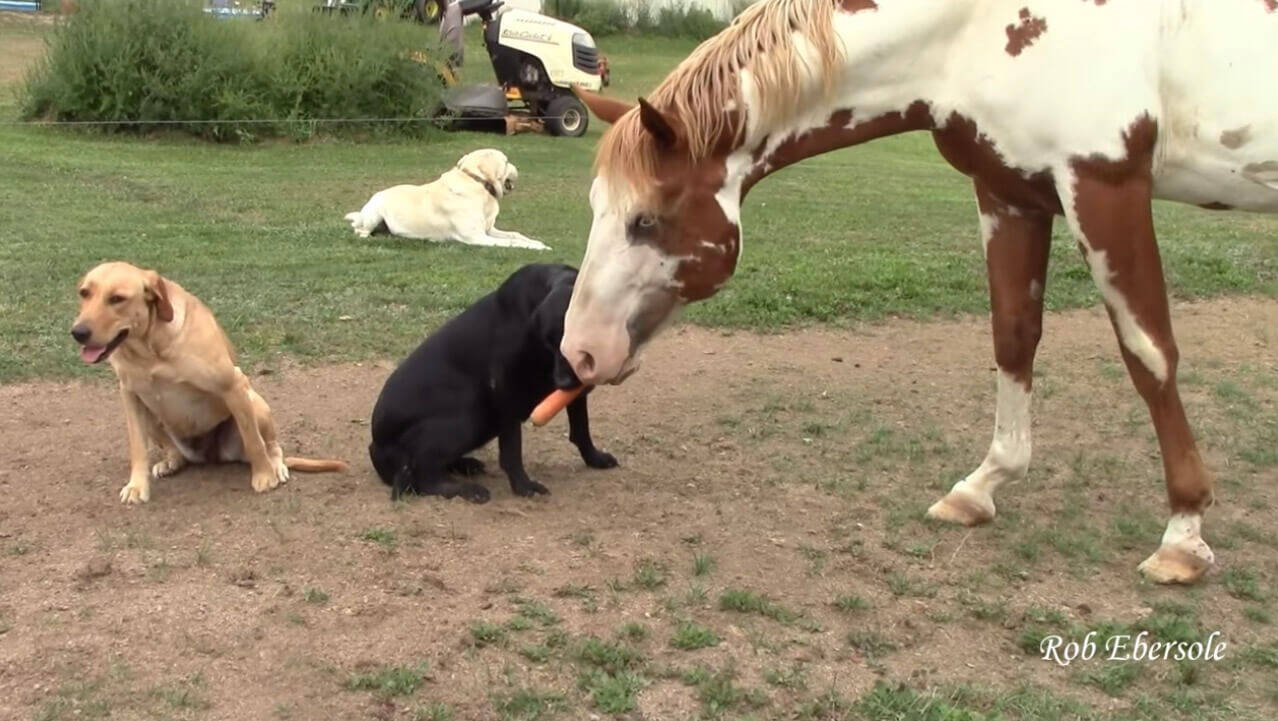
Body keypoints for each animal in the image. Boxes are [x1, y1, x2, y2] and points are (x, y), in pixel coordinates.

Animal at [559, 0, 1278, 585]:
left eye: (645, 220)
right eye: (593, 206)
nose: (579, 351)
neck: (980, 25)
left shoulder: (1103, 188)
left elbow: (1148, 354)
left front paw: (1184, 534)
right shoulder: (1011, 193)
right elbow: (1014, 336)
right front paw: (982, 486)